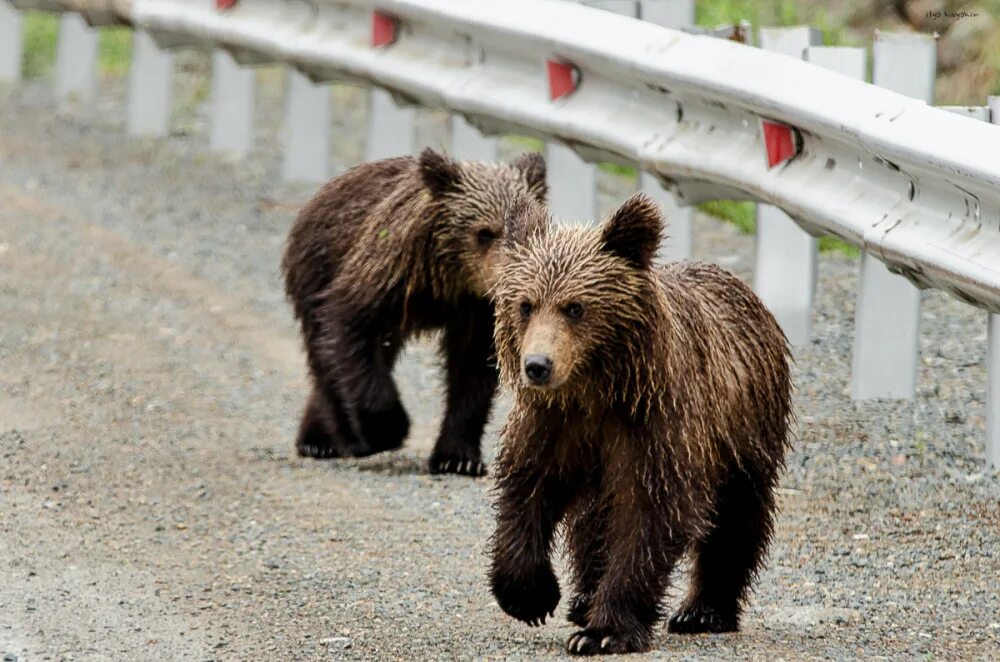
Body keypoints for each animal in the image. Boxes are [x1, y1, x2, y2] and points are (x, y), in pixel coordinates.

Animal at [282, 148, 548, 474]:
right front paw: (386, 430)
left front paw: (458, 457)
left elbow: (471, 371)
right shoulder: (390, 273)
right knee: (326, 355)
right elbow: (351, 327)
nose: (512, 281)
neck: (451, 279)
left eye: (531, 232)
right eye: (485, 232)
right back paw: (326, 440)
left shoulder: (479, 310)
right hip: (316, 266)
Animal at [488, 195, 792, 656]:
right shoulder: (553, 424)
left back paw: (703, 610)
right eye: (525, 304)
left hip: (743, 432)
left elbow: (650, 518)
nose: (537, 365)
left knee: (736, 517)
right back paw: (583, 597)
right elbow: (527, 490)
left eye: (575, 307)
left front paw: (603, 631)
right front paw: (532, 595)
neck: (595, 390)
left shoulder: (656, 426)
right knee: (593, 517)